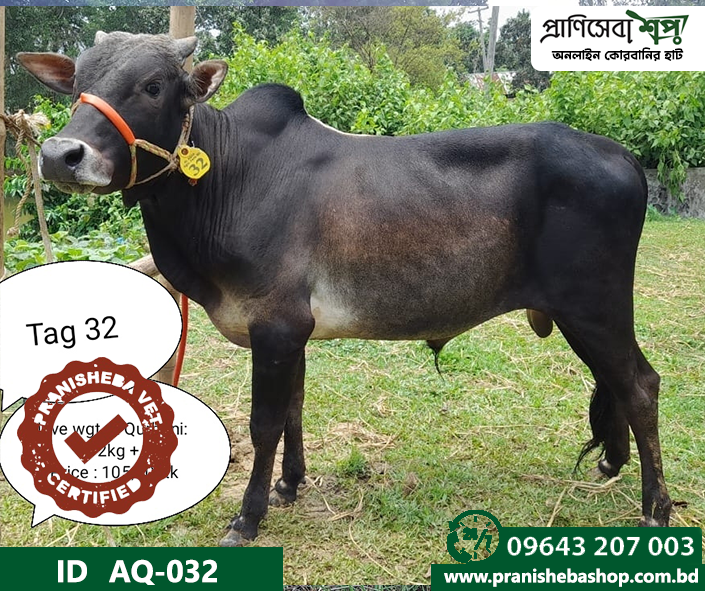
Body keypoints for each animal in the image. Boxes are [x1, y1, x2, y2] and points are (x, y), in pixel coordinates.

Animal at [19, 32, 671, 545]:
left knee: (640, 385)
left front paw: (248, 517)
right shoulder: (294, 333)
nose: (60, 155)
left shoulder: (276, 325)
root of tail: (621, 154)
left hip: (594, 307)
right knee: (617, 385)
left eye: (153, 86)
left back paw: (657, 510)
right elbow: (294, 409)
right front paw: (289, 484)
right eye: (77, 83)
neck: (229, 178)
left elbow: (264, 422)